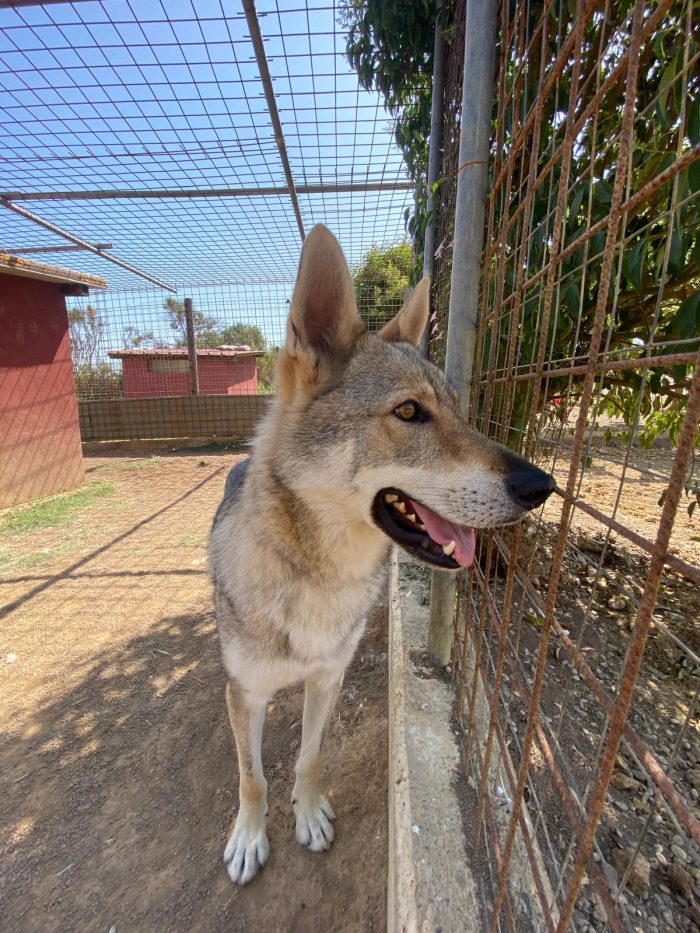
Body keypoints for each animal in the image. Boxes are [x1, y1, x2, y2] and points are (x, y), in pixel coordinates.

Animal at [209, 225, 555, 884]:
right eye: (409, 412)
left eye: (459, 410)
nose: (542, 486)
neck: (319, 582)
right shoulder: (247, 693)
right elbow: (251, 777)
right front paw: (248, 837)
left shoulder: (328, 678)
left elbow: (308, 759)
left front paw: (309, 813)